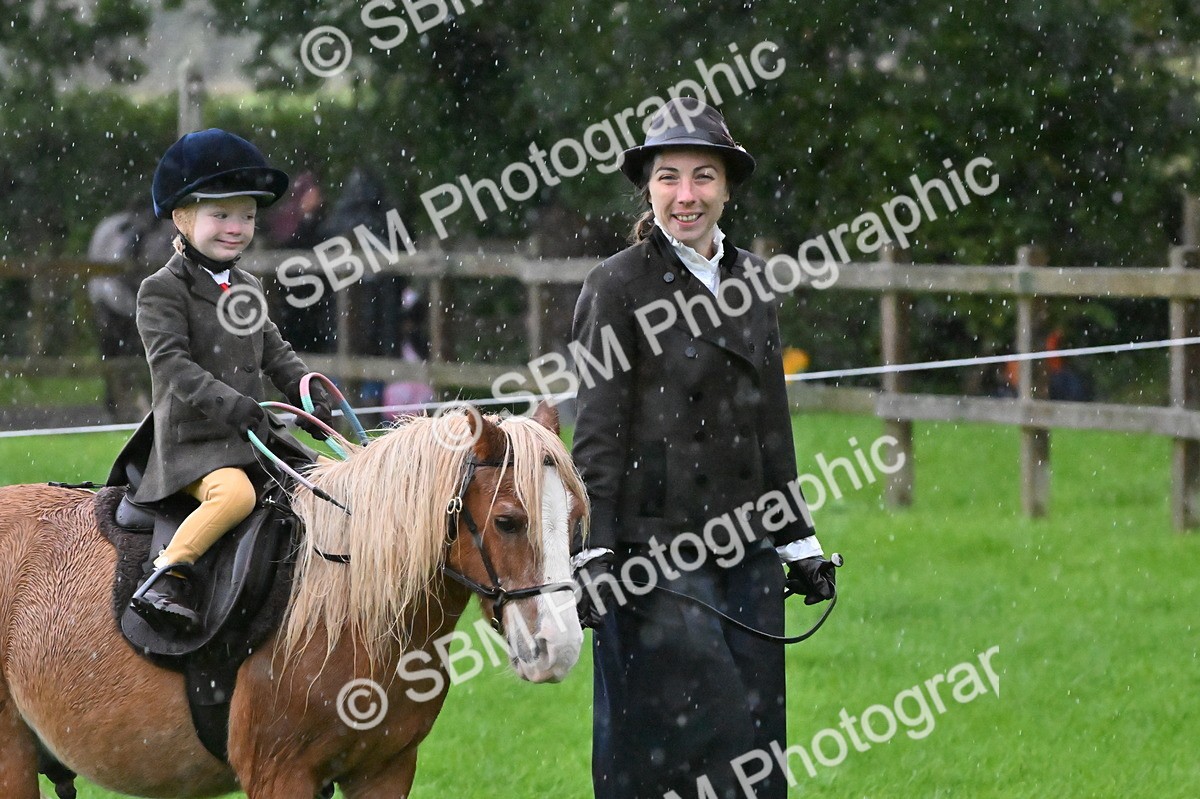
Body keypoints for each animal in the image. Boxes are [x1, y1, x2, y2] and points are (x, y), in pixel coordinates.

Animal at [0, 403, 588, 798]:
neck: (345, 606)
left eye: (576, 520)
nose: (558, 648)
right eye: (508, 521)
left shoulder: (385, 770)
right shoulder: (279, 774)